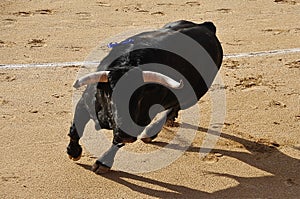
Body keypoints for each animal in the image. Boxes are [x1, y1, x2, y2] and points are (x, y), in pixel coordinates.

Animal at [67, 19, 224, 173]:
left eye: (141, 96)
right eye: (110, 94)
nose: (126, 135)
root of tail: (206, 26)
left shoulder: (140, 121)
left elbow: (116, 143)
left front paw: (103, 163)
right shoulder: (84, 103)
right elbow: (75, 129)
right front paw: (73, 152)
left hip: (193, 95)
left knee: (173, 108)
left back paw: (150, 133)